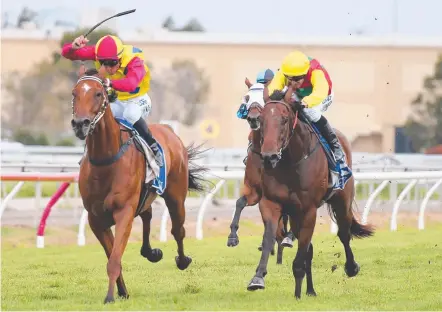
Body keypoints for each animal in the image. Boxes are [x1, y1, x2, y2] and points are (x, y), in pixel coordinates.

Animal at [71, 67, 210, 304]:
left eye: (98, 93)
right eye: (74, 93)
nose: (81, 124)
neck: (105, 160)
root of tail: (168, 130)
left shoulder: (124, 211)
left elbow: (114, 259)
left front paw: (110, 296)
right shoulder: (96, 219)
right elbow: (112, 255)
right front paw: (121, 291)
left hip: (176, 195)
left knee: (178, 229)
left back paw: (182, 260)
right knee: (147, 214)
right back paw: (151, 252)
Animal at [247, 87, 374, 298]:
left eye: (285, 119)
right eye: (262, 120)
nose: (269, 157)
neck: (290, 163)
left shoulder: (309, 210)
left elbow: (302, 254)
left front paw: (297, 294)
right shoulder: (271, 203)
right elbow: (269, 239)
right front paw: (258, 278)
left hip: (342, 201)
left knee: (344, 233)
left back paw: (350, 268)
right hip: (295, 214)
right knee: (310, 247)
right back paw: (310, 290)